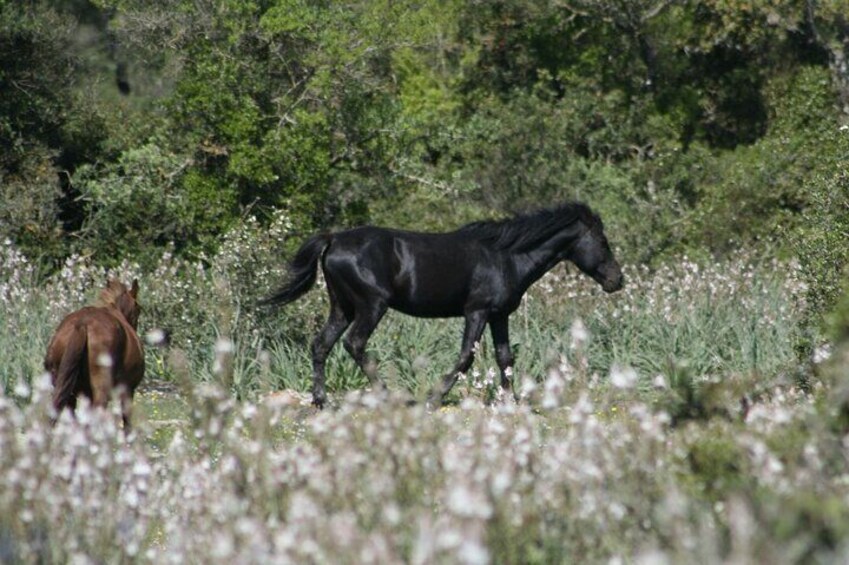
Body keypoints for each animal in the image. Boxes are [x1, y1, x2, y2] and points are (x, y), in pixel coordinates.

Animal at [264, 202, 624, 406]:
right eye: (602, 241)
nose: (617, 281)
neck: (506, 256)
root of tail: (334, 239)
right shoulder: (476, 312)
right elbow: (466, 357)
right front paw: (435, 399)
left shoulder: (499, 315)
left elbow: (505, 357)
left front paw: (512, 402)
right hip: (371, 306)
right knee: (354, 344)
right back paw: (388, 396)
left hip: (342, 307)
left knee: (321, 345)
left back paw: (321, 401)